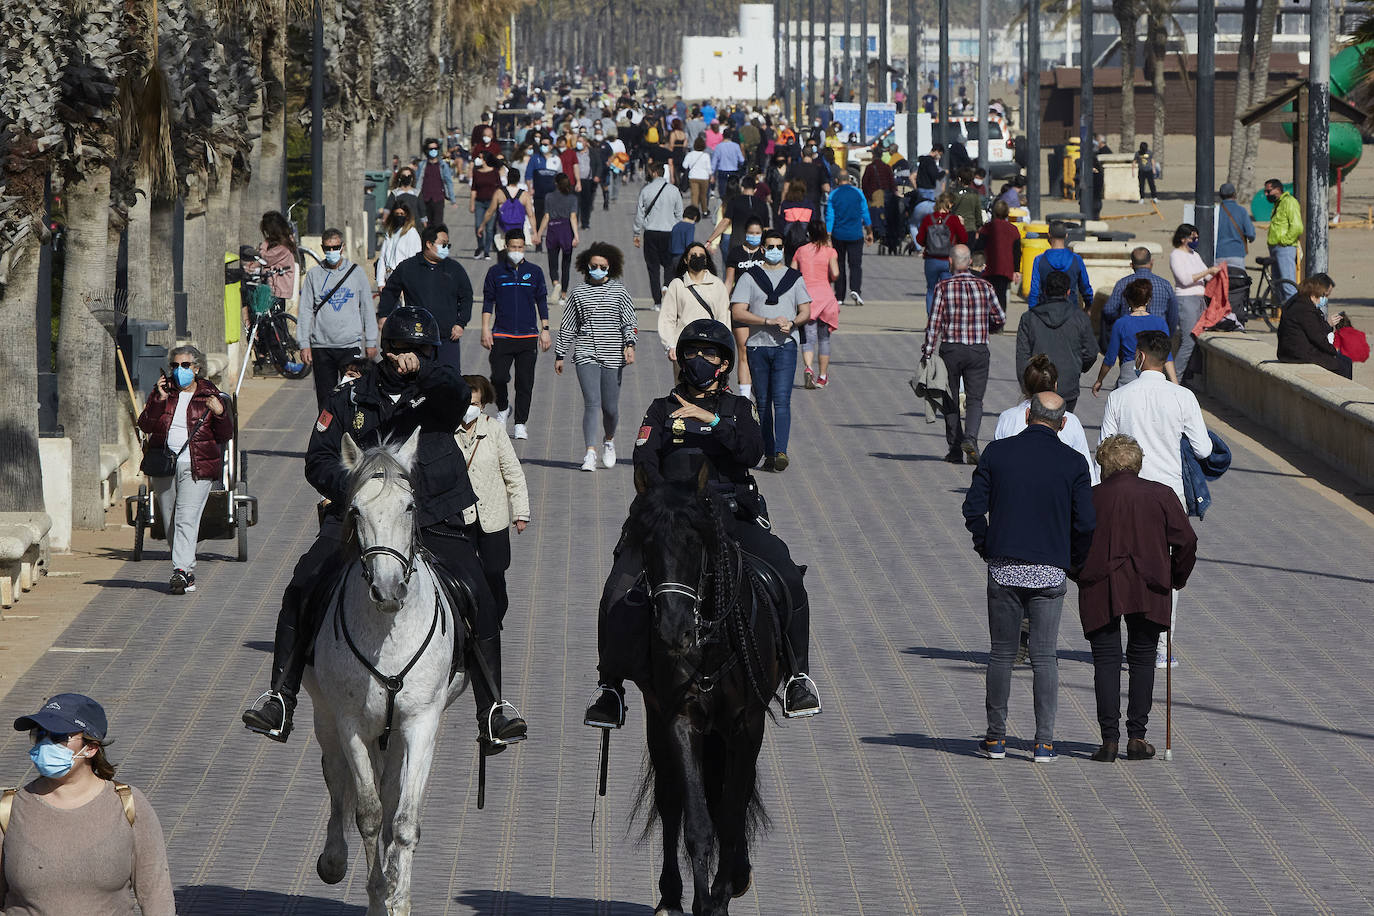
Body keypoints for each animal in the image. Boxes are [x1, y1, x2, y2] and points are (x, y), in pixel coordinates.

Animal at [305, 431, 467, 916]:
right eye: (356, 510)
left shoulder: (421, 722)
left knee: (390, 790)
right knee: (336, 775)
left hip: (395, 732)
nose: (389, 589)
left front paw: (399, 896)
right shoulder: (350, 723)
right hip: (325, 717)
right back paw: (333, 859)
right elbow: (369, 813)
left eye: (409, 506)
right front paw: (378, 893)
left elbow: (404, 819)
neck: (386, 631)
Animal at [626, 472, 780, 916]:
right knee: (670, 801)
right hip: (657, 722)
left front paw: (721, 897)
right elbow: (697, 820)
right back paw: (670, 896)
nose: (674, 630)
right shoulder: (680, 720)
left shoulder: (747, 726)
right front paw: (700, 900)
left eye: (695, 543)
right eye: (645, 544)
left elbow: (730, 813)